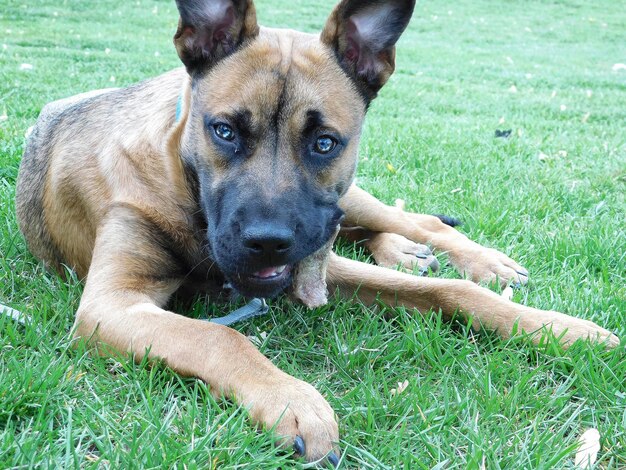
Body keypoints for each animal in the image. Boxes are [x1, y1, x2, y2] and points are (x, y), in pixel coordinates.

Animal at [13, 0, 616, 462]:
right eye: (224, 131)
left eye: (325, 142)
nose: (267, 241)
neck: (183, 183)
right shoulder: (110, 305)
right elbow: (219, 335)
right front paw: (291, 399)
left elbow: (450, 290)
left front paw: (558, 328)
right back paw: (405, 252)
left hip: (349, 198)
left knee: (411, 221)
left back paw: (474, 258)